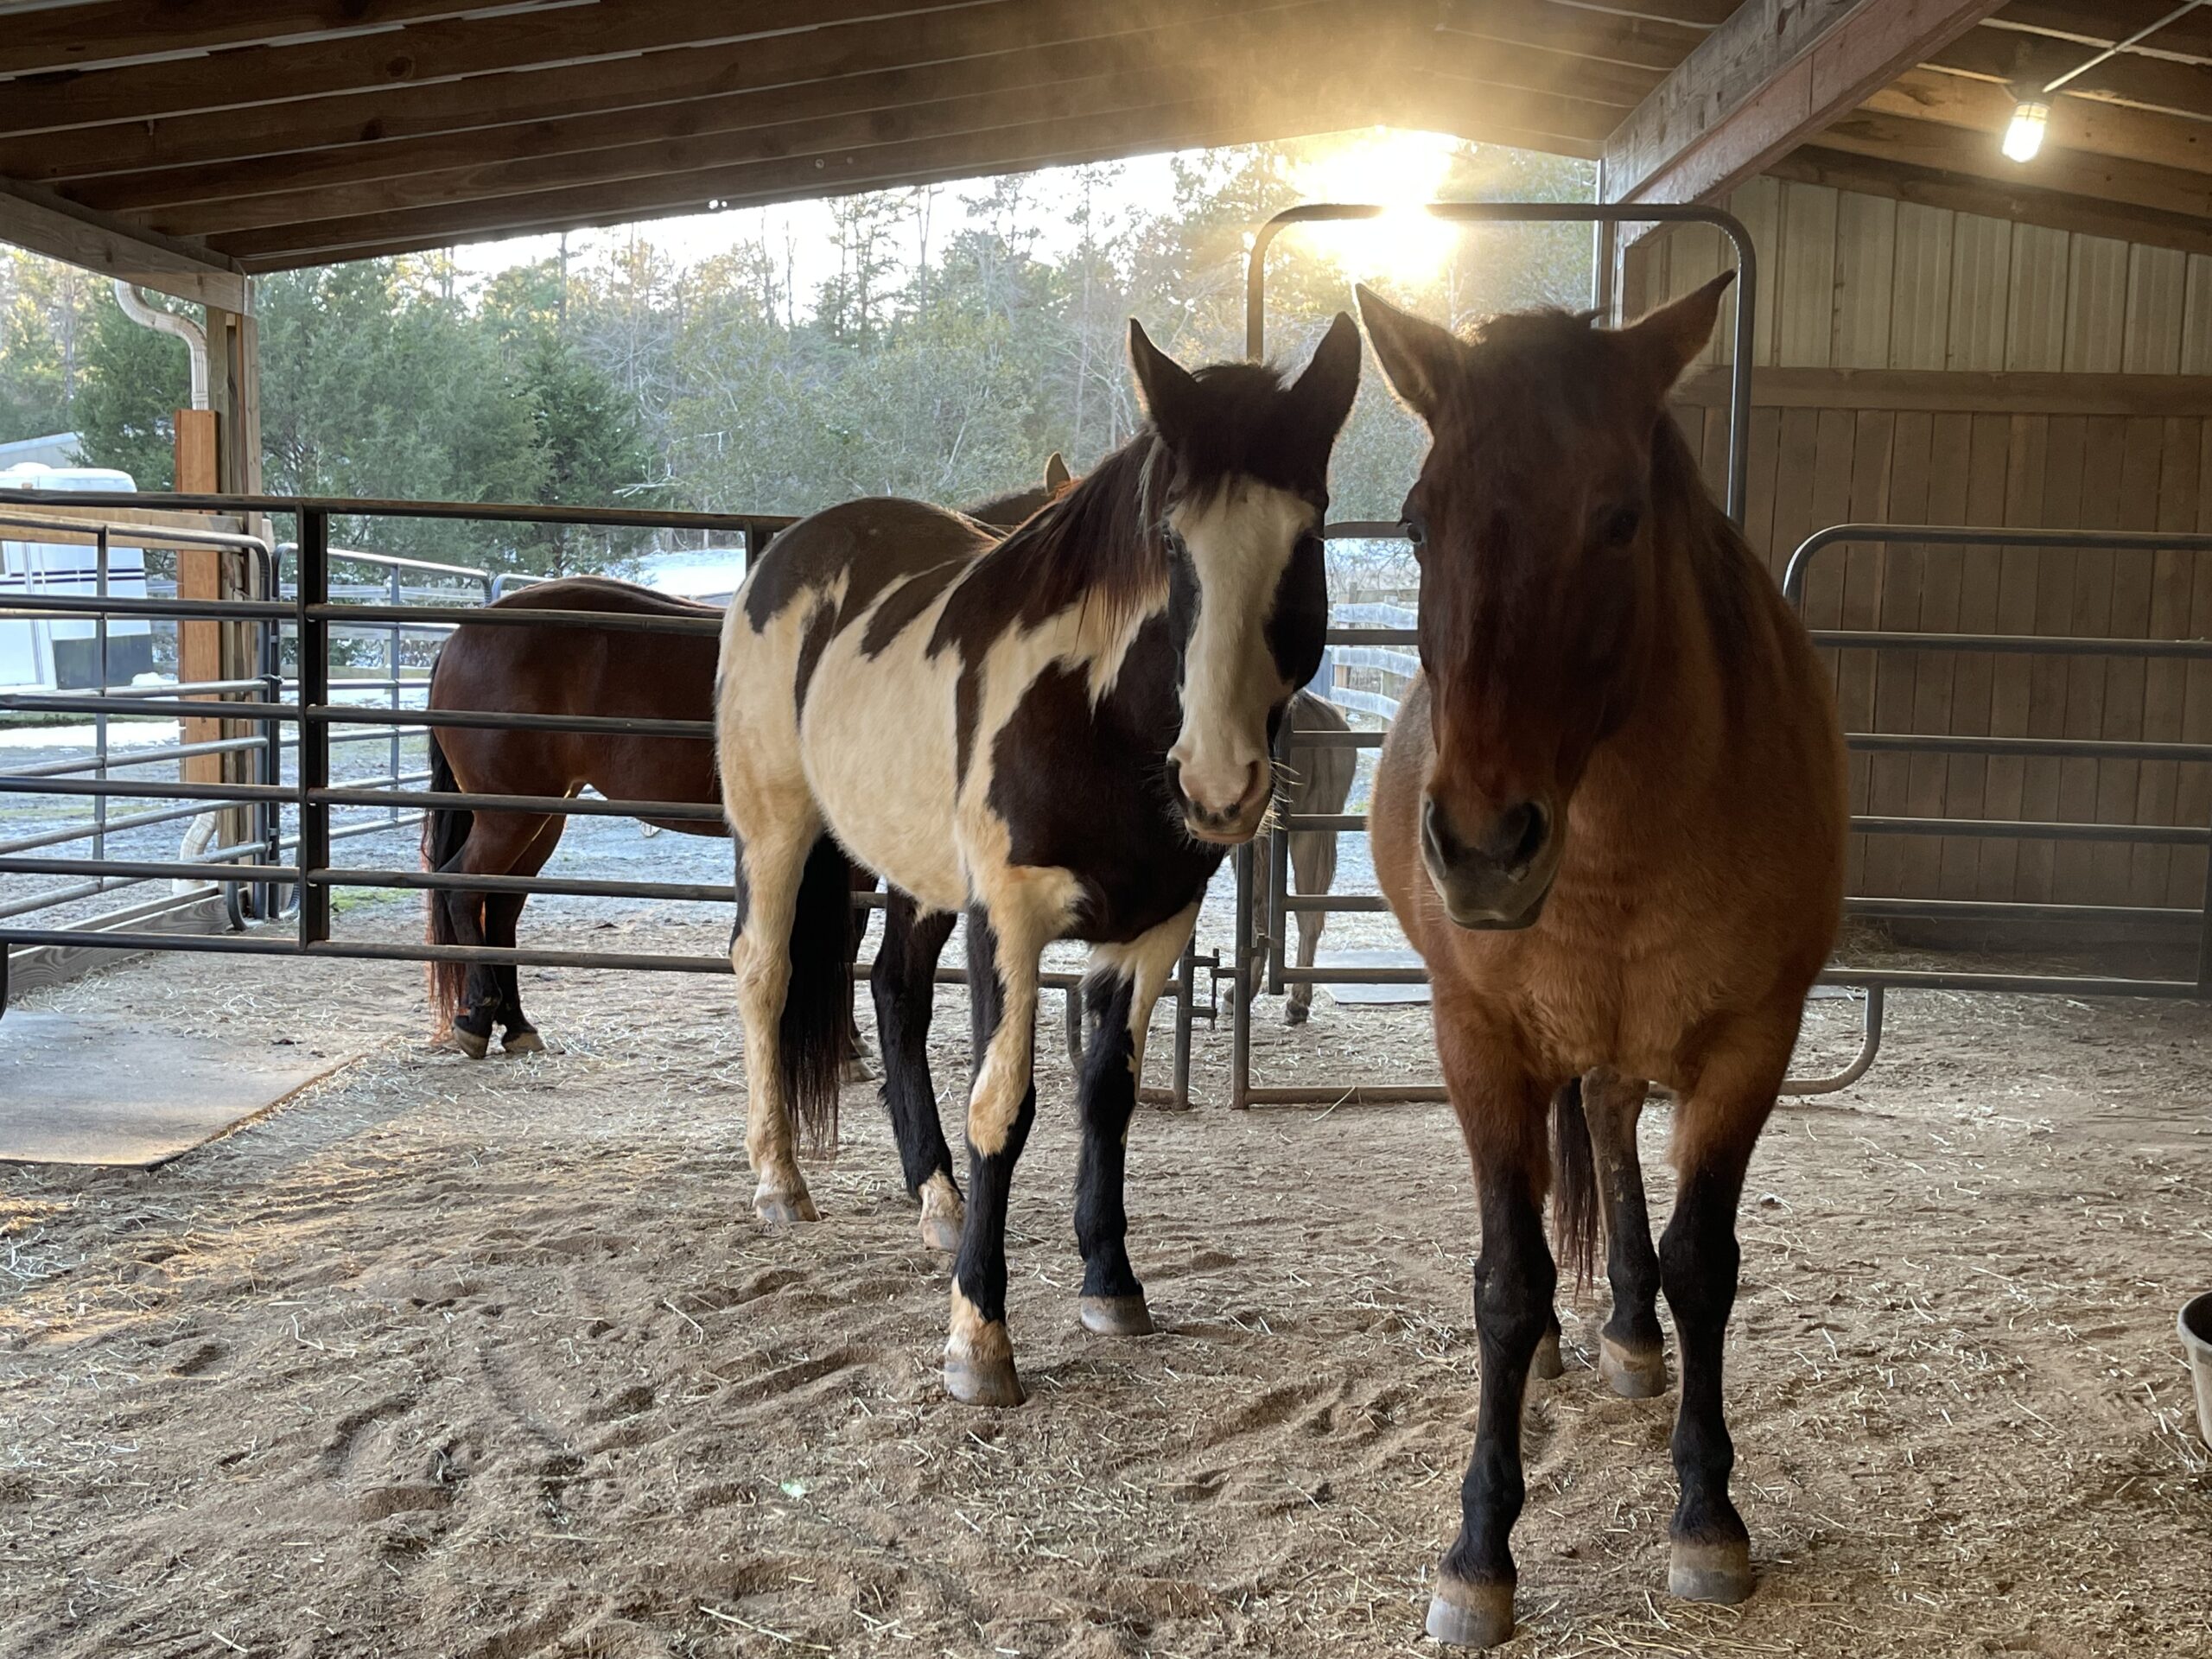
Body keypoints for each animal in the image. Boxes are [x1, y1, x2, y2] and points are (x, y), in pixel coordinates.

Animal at [417, 457, 1075, 1065]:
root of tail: (461, 637)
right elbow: (846, 934)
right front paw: (845, 1048)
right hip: (508, 812)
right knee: (463, 888)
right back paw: (477, 1018)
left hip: (542, 812)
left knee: (501, 905)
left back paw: (515, 1025)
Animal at [716, 311, 1353, 1407]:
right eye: (1170, 542)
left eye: (1305, 535)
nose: (1219, 785)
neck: (1098, 722)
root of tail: (791, 552)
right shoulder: (1007, 919)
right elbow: (1004, 1107)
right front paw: (979, 1339)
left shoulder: (1154, 928)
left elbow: (1108, 1094)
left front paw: (1111, 1282)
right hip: (777, 832)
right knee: (766, 974)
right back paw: (780, 1183)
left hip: (918, 877)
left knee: (893, 991)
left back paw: (937, 1201)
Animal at [1344, 276, 1849, 1654]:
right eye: (1415, 524)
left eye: (1618, 517)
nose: (1480, 847)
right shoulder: (1477, 1045)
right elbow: (1507, 1280)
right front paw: (1477, 1553)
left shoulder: (1750, 1047)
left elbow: (1703, 1265)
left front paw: (1708, 1520)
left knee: (1618, 1141)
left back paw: (1627, 1334)